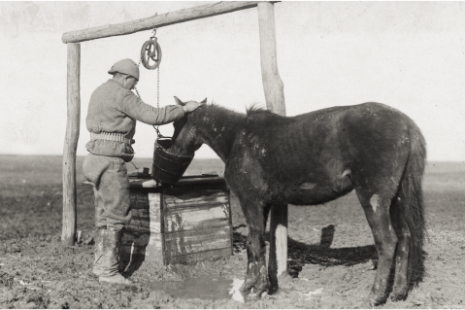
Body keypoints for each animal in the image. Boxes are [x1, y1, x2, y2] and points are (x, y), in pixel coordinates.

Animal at [169, 97, 426, 306]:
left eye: (175, 123)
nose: (172, 149)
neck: (237, 138)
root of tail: (407, 125)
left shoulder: (250, 201)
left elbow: (255, 244)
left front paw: (254, 290)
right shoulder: (264, 204)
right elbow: (256, 245)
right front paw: (253, 286)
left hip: (373, 199)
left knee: (387, 243)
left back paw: (374, 296)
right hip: (397, 200)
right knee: (405, 238)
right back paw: (399, 293)